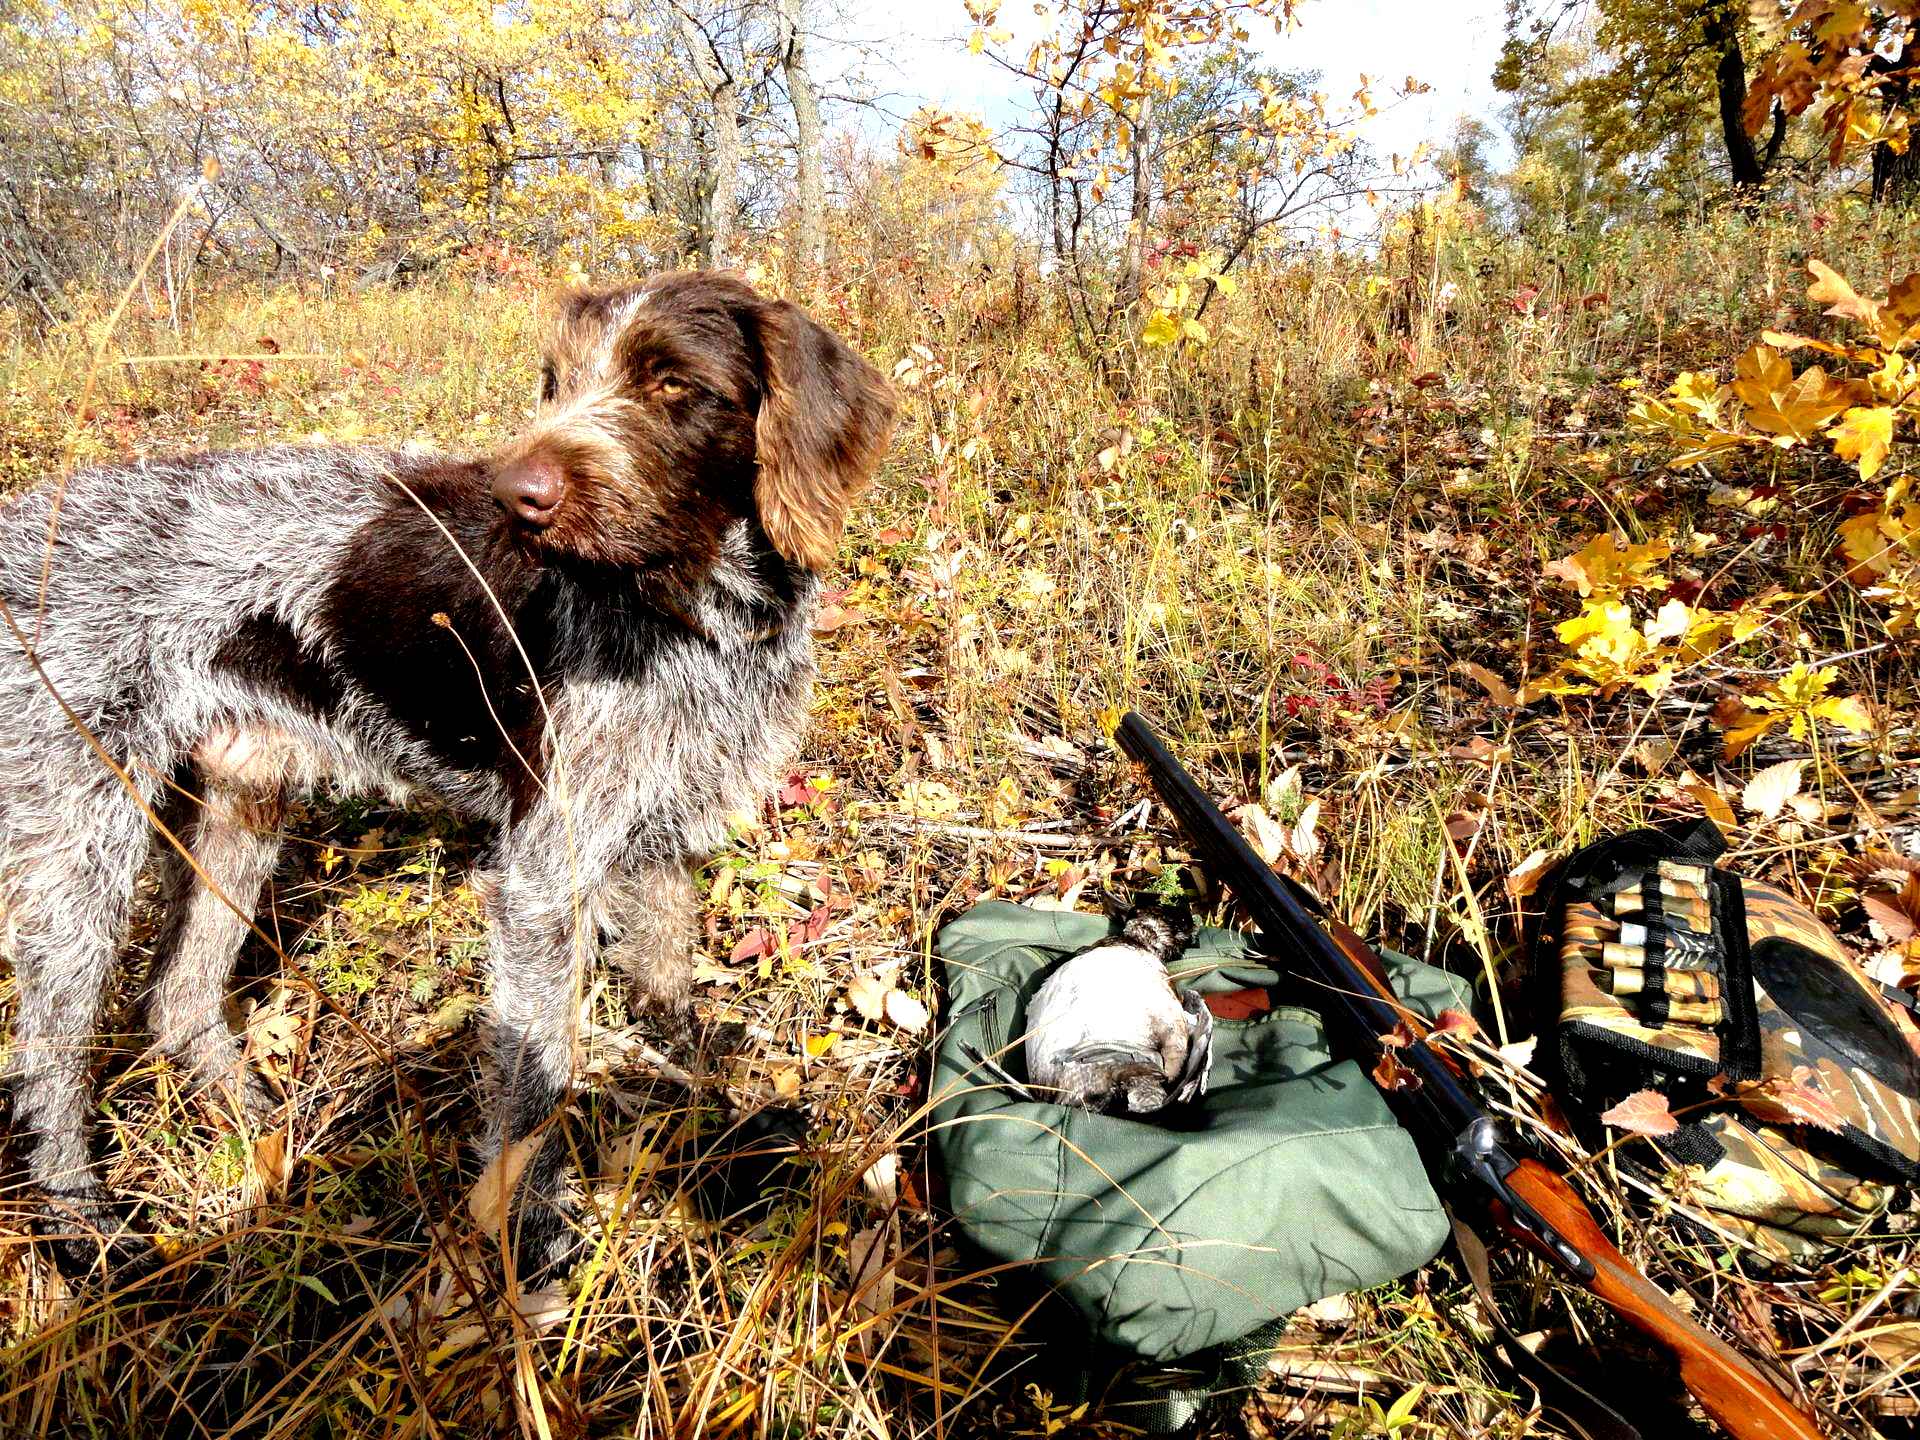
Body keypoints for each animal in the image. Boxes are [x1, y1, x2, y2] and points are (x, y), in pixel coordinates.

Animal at [0, 268, 894, 1274]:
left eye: (673, 384)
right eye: (556, 380)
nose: (518, 494)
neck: (696, 616)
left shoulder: (660, 833)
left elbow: (667, 974)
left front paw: (702, 1090)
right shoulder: (544, 878)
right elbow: (538, 1072)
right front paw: (529, 1227)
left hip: (238, 800)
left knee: (178, 998)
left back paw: (254, 1124)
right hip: (80, 845)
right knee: (51, 1049)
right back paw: (78, 1218)